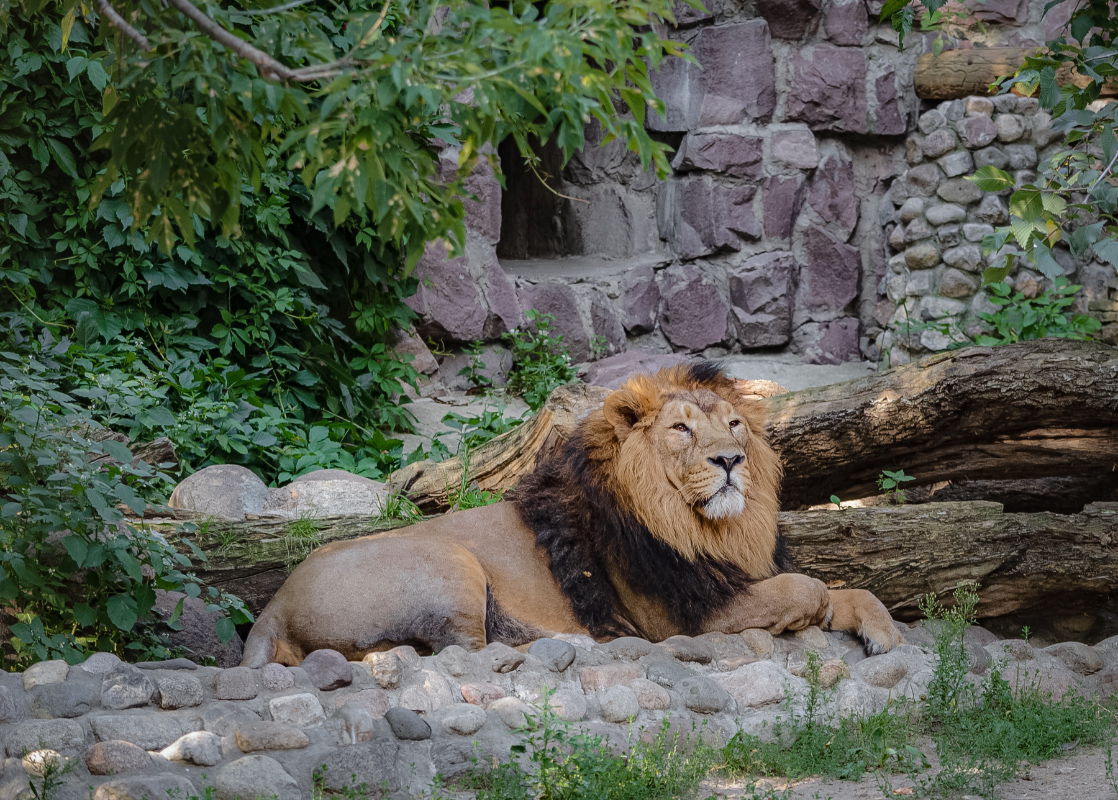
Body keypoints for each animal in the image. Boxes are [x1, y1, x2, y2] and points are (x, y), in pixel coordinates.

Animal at [242, 364, 898, 670]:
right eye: (682, 429)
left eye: (734, 424)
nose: (731, 460)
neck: (712, 528)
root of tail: (274, 605)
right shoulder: (689, 616)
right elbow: (809, 587)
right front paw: (818, 610)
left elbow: (851, 589)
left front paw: (884, 633)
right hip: (449, 560)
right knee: (460, 653)